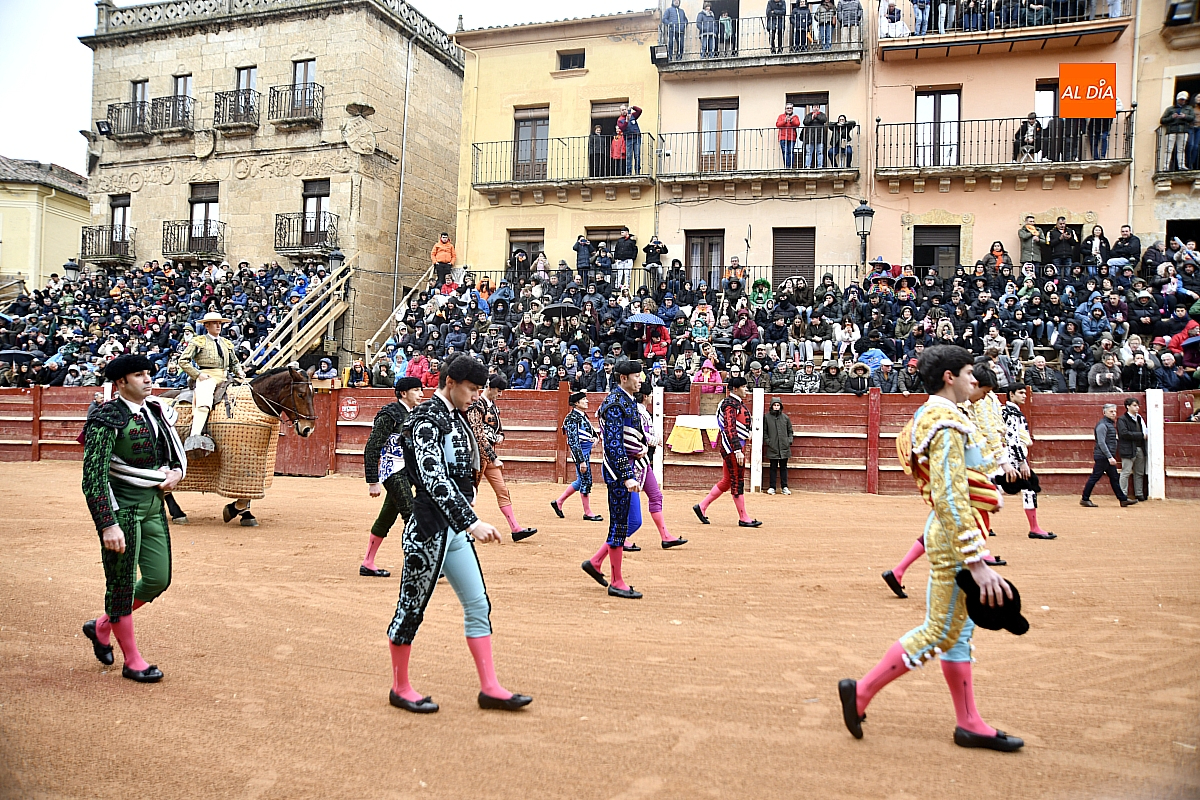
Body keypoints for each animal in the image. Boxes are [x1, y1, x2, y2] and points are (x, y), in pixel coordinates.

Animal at [166, 366, 317, 526]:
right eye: (300, 394)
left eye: (313, 394)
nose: (308, 429)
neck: (257, 401)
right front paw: (233, 510)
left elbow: (248, 492)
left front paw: (245, 514)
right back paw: (178, 514)